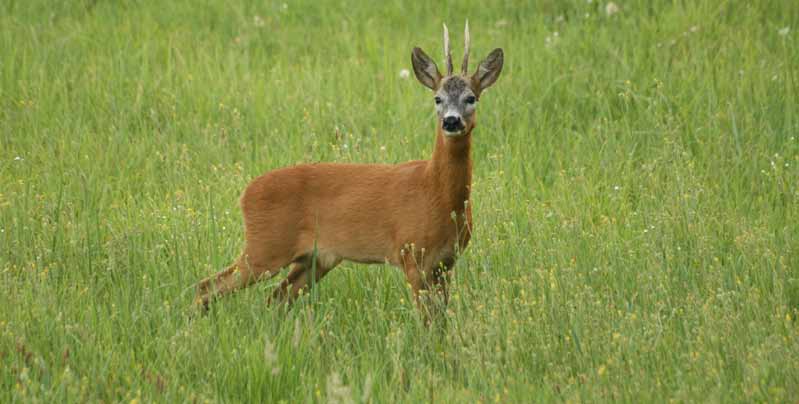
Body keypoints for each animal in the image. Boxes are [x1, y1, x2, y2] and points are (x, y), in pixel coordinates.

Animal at [196, 22, 504, 318]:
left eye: (471, 98)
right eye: (437, 98)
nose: (451, 121)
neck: (436, 193)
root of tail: (245, 193)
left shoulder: (446, 262)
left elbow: (440, 320)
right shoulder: (411, 253)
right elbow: (427, 320)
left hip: (315, 258)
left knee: (274, 298)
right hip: (266, 247)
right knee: (208, 286)